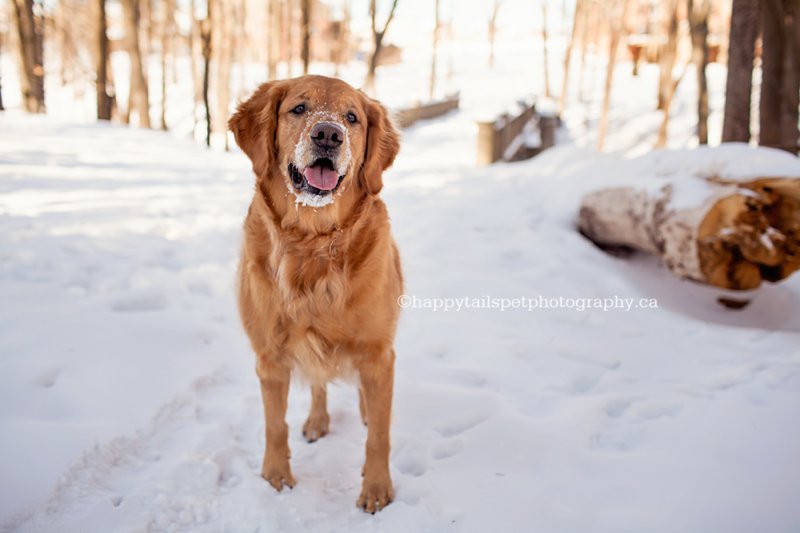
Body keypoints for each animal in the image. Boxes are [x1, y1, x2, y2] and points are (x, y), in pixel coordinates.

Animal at [228, 75, 404, 512]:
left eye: (352, 117)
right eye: (299, 109)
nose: (328, 134)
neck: (314, 242)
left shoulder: (379, 352)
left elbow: (379, 435)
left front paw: (376, 490)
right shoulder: (270, 358)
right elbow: (275, 425)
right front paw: (276, 478)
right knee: (319, 382)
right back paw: (317, 421)